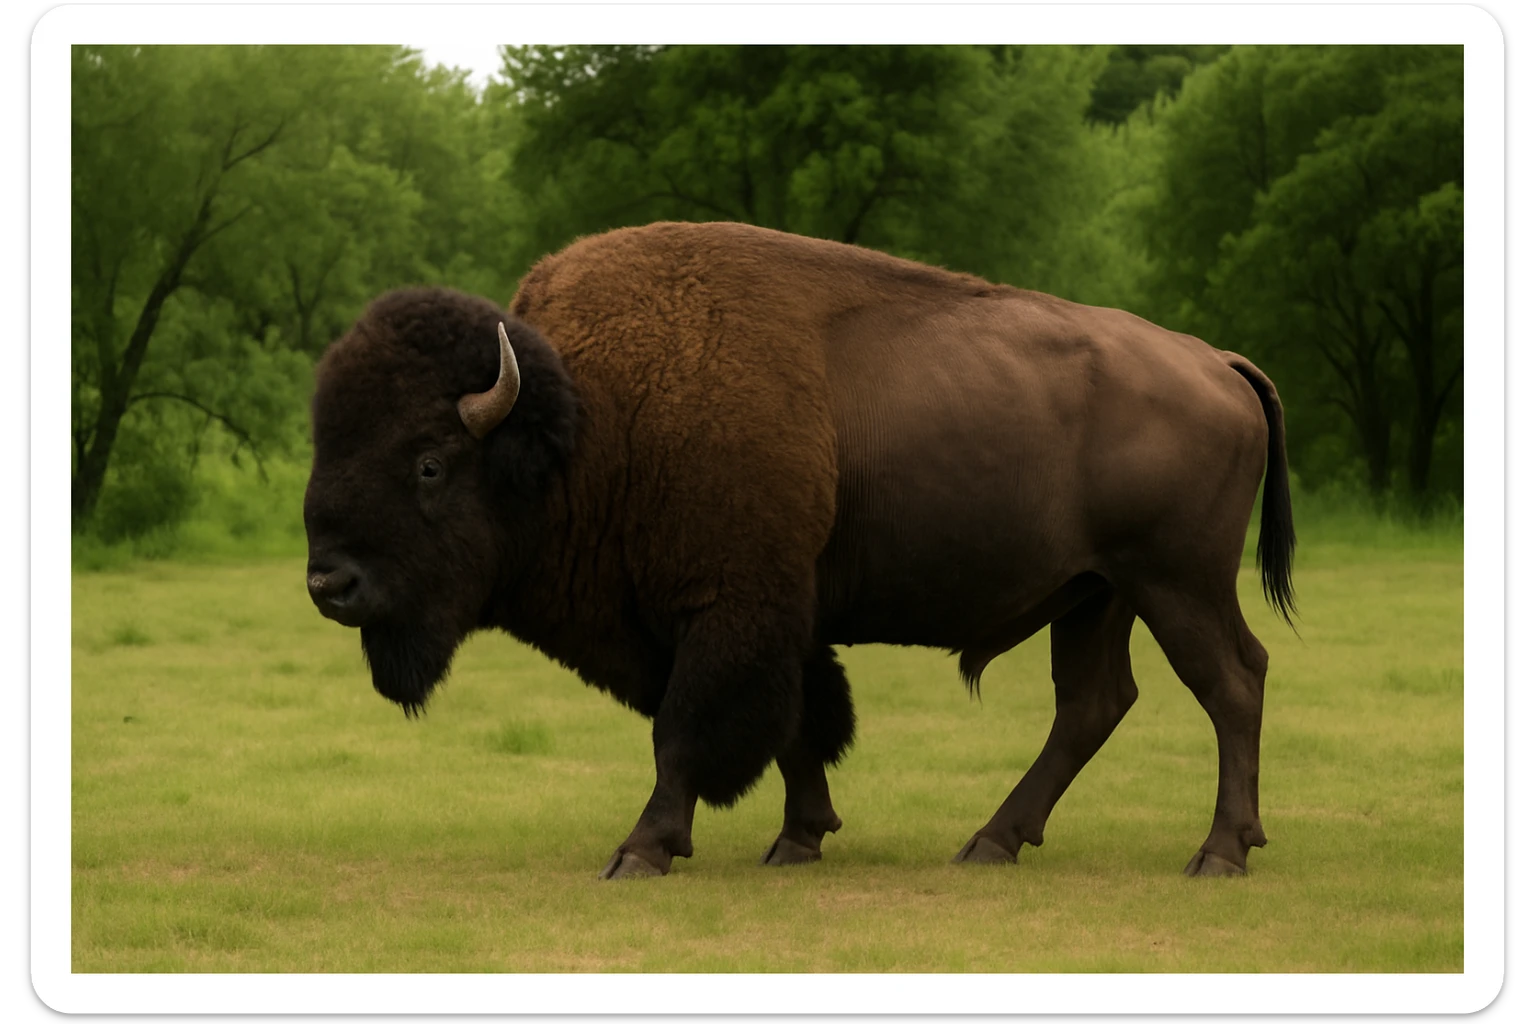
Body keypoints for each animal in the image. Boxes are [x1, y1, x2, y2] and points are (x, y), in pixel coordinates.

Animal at [304, 221, 1295, 880]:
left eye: (428, 463)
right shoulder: (774, 620)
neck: (590, 424)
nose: (328, 583)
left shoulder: (729, 614)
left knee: (1231, 682)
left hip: (1176, 583)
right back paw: (990, 842)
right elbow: (800, 726)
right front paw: (797, 838)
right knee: (1095, 703)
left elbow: (689, 731)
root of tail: (1217, 361)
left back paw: (1218, 852)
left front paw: (643, 850)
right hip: (1098, 594)